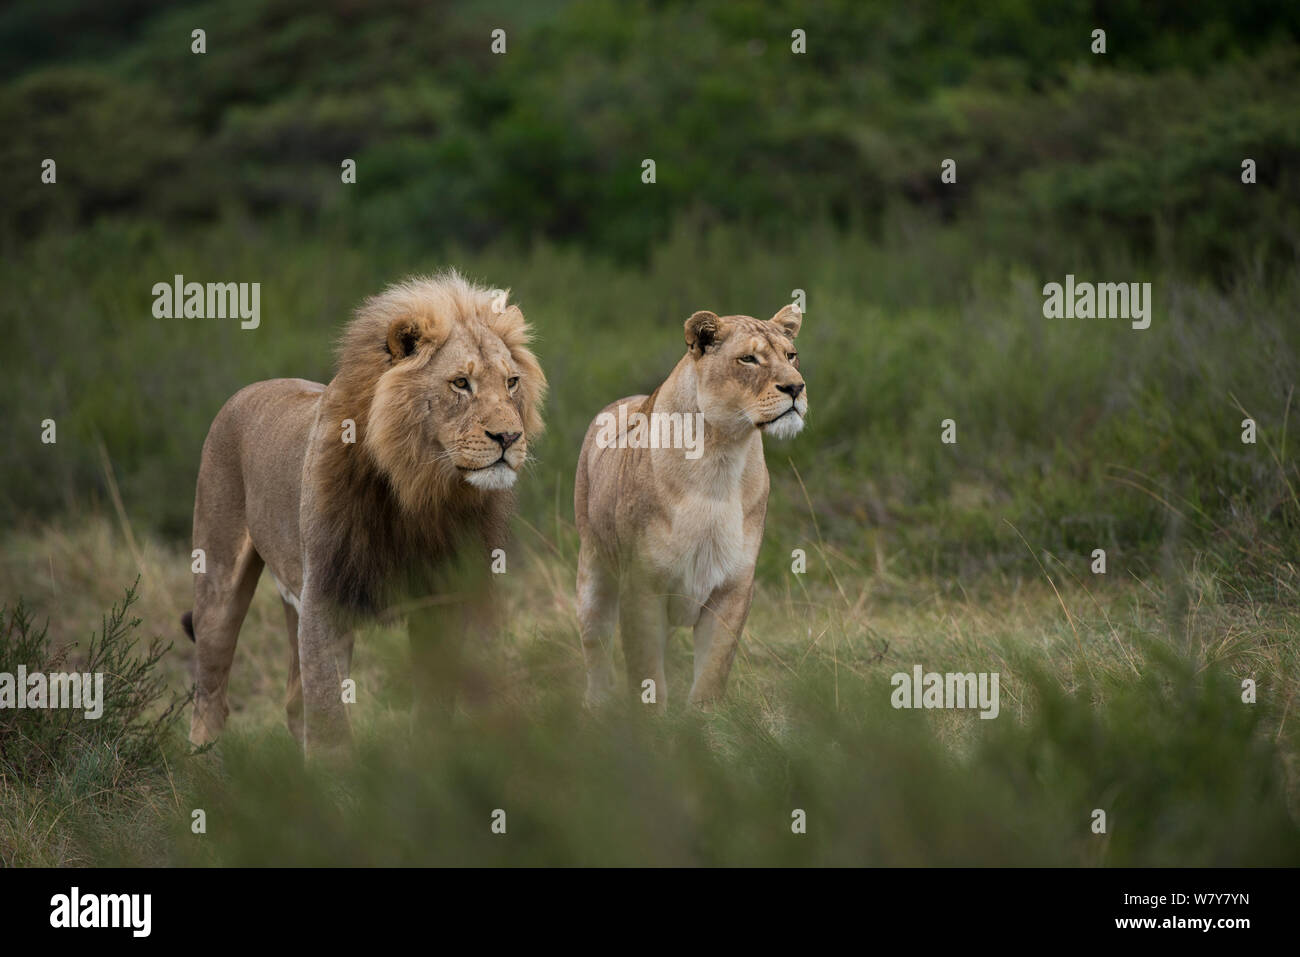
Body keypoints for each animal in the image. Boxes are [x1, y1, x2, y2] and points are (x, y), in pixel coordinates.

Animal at [183, 273, 543, 748]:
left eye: (512, 382)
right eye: (460, 383)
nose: (509, 438)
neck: (421, 491)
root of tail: (249, 389)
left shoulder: (440, 600)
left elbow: (432, 706)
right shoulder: (324, 598)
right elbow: (329, 718)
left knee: (293, 703)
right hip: (218, 578)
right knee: (210, 695)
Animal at [577, 306, 806, 712]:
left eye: (790, 355)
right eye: (749, 359)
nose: (796, 387)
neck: (721, 455)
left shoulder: (733, 588)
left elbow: (713, 668)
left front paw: (705, 719)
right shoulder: (642, 585)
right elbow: (647, 671)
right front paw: (653, 720)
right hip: (593, 573)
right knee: (596, 646)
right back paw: (597, 705)